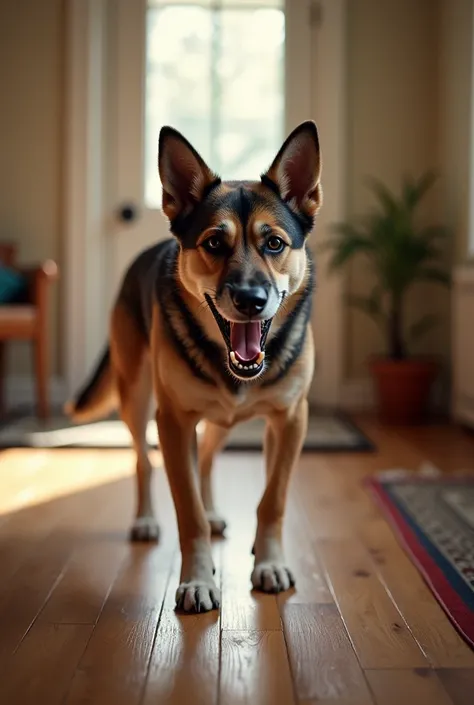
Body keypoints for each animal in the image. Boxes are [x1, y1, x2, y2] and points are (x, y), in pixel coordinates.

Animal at [66, 121, 322, 612]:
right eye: (214, 244)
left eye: (275, 243)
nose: (250, 300)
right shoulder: (173, 422)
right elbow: (189, 514)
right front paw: (198, 580)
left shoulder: (290, 420)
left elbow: (273, 500)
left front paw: (269, 561)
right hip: (136, 397)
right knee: (143, 461)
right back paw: (146, 520)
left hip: (223, 421)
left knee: (205, 458)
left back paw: (216, 510)